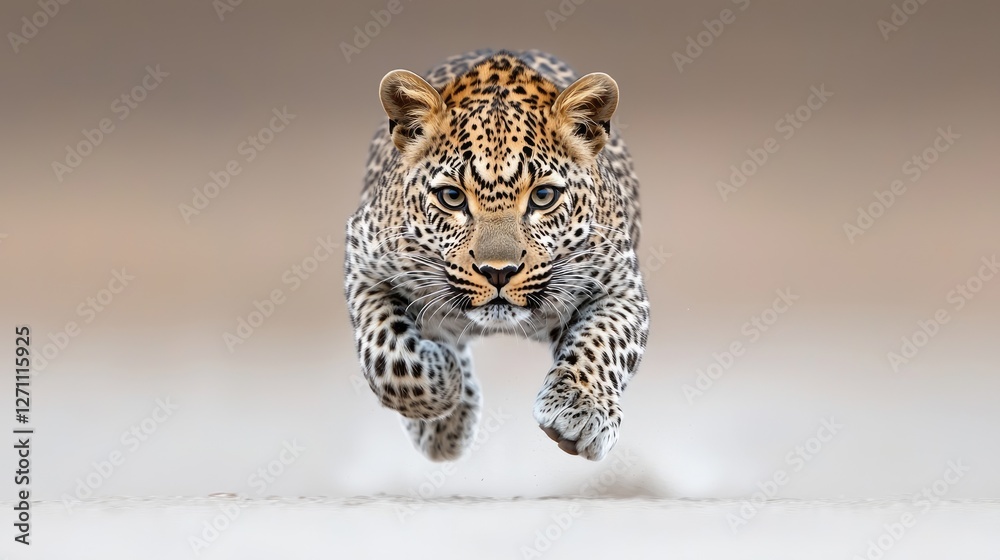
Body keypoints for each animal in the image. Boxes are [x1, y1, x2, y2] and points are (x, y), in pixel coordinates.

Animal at [344, 49, 649, 462]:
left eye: (543, 196)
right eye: (452, 197)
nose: (499, 272)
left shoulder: (621, 285)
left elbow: (604, 342)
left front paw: (582, 409)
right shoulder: (364, 261)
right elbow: (389, 353)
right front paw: (446, 387)